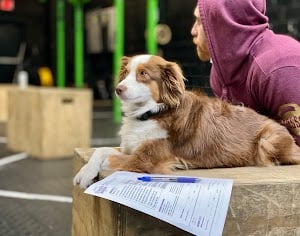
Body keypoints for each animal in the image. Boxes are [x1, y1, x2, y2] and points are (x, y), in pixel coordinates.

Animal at [73, 54, 300, 189]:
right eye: (126, 73)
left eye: (143, 74)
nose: (118, 89)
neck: (152, 112)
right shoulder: (130, 148)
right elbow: (100, 150)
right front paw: (85, 172)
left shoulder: (143, 160)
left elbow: (109, 158)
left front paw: (86, 174)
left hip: (266, 142)